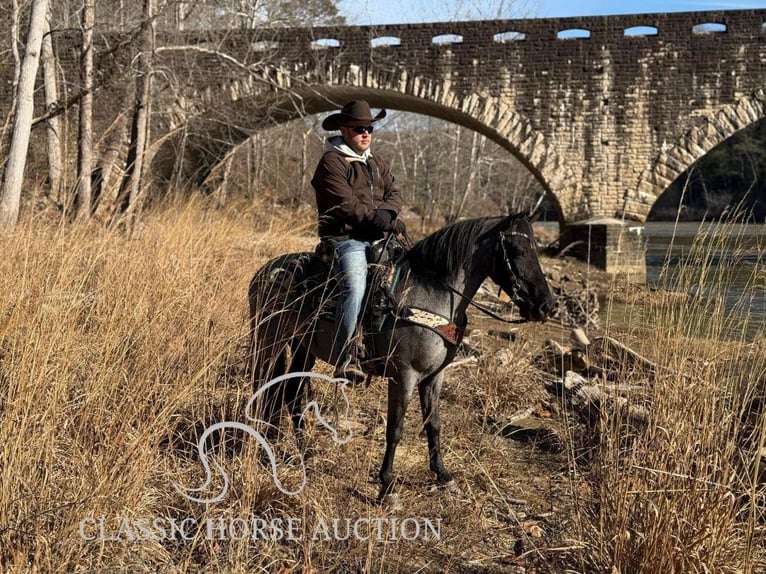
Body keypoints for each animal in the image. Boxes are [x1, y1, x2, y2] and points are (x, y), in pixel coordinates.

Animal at [249, 214, 556, 506]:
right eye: (517, 249)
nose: (547, 306)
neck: (431, 295)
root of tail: (266, 270)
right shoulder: (404, 375)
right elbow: (395, 429)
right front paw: (387, 487)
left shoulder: (434, 376)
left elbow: (433, 424)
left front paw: (443, 475)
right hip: (268, 339)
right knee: (262, 384)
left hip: (304, 348)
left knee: (290, 393)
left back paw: (304, 449)